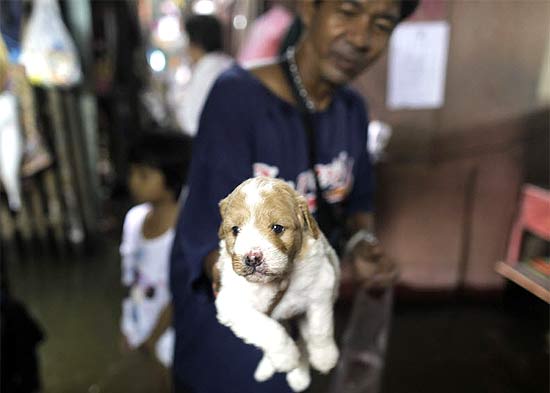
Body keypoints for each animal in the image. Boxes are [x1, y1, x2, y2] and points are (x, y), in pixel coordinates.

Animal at [216, 177, 340, 388]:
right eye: (235, 230)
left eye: (277, 228)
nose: (252, 258)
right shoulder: (231, 304)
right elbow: (267, 329)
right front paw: (286, 358)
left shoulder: (321, 286)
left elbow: (320, 327)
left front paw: (324, 356)